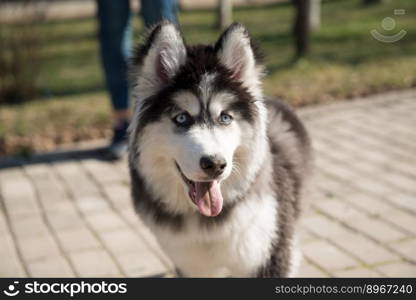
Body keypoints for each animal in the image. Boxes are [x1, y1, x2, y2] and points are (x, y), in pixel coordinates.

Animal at [128, 22, 310, 278]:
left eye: (225, 117)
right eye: (181, 118)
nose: (215, 164)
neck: (206, 225)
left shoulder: (271, 254)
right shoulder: (191, 265)